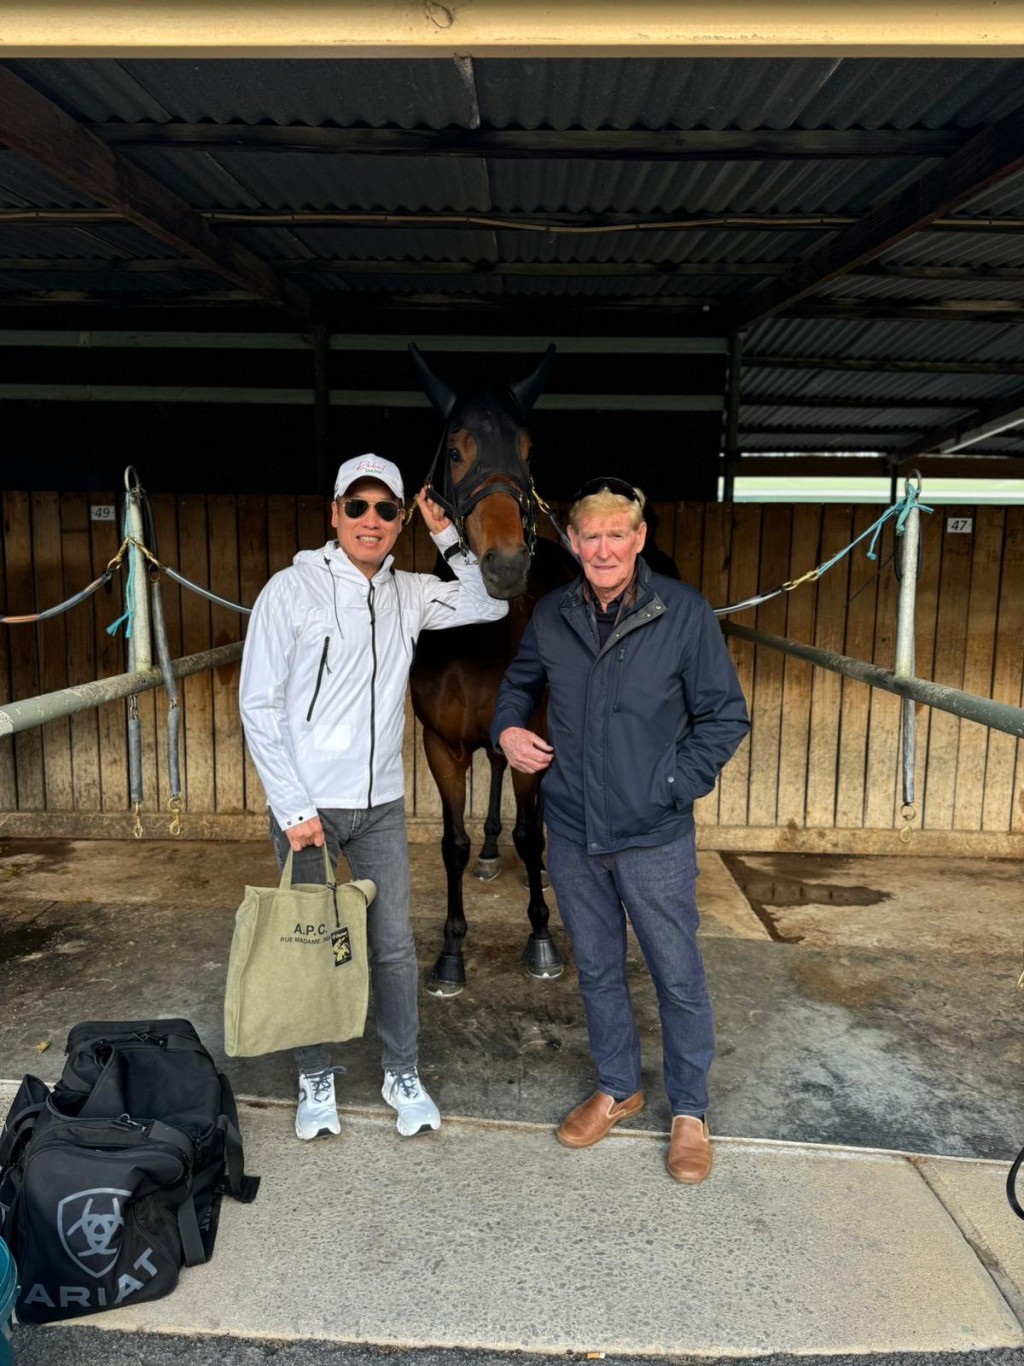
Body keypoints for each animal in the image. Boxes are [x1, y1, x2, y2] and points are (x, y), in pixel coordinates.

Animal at [409, 346, 578, 999]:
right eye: (457, 452)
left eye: (527, 451)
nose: (505, 566)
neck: (475, 630)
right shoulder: (442, 746)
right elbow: (450, 844)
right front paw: (451, 953)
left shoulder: (534, 736)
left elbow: (531, 837)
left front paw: (541, 939)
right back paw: (488, 848)